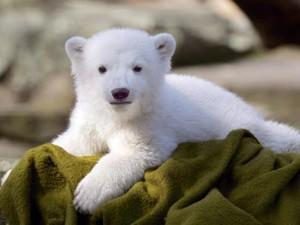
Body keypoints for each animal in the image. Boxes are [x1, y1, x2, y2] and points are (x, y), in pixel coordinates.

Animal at [50, 27, 298, 213]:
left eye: (137, 68)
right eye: (101, 68)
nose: (120, 92)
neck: (119, 115)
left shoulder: (149, 124)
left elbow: (134, 153)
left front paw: (87, 196)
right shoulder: (91, 119)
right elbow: (73, 142)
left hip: (232, 120)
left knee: (268, 134)